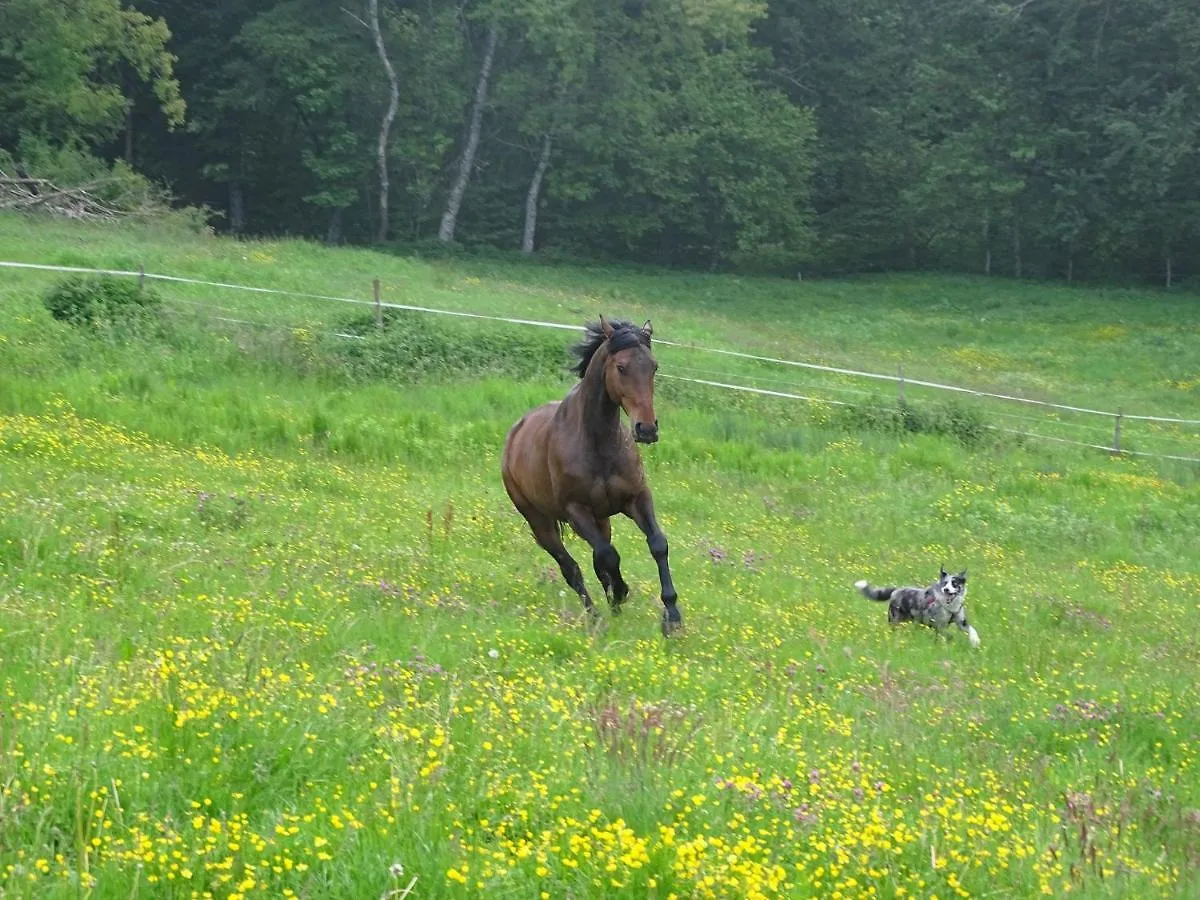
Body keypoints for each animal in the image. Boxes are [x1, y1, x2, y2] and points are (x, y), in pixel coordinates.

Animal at [499, 316, 686, 633]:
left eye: (654, 366)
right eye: (621, 367)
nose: (647, 429)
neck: (599, 444)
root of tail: (515, 432)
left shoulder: (637, 498)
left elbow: (657, 545)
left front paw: (672, 616)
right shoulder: (577, 511)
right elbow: (608, 556)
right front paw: (622, 592)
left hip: (602, 520)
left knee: (597, 560)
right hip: (540, 522)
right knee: (571, 567)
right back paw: (596, 616)